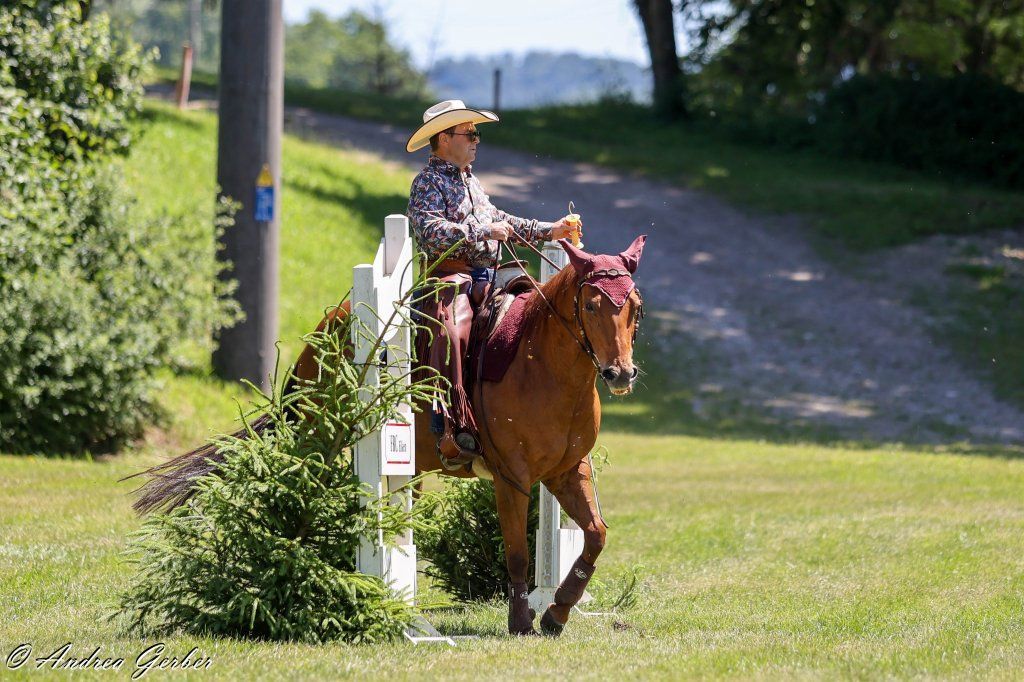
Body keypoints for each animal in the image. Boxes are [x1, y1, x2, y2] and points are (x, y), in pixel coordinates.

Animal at [130, 234, 646, 637]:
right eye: (592, 304)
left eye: (635, 308)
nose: (620, 374)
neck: (541, 363)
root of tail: (325, 330)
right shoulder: (511, 478)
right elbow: (518, 554)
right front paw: (521, 620)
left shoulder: (567, 472)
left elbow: (595, 536)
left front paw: (557, 610)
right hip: (320, 435)